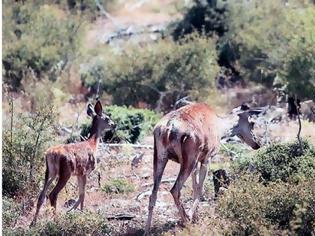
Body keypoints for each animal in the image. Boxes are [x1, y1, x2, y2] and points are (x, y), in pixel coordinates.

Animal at [145, 102, 262, 233]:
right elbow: (201, 188)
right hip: (189, 159)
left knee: (153, 194)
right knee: (175, 189)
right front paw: (192, 216)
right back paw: (186, 222)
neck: (221, 128)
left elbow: (195, 186)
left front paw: (195, 216)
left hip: (160, 157)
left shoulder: (197, 163)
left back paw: (147, 230)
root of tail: (168, 129)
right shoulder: (207, 157)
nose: (257, 144)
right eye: (252, 123)